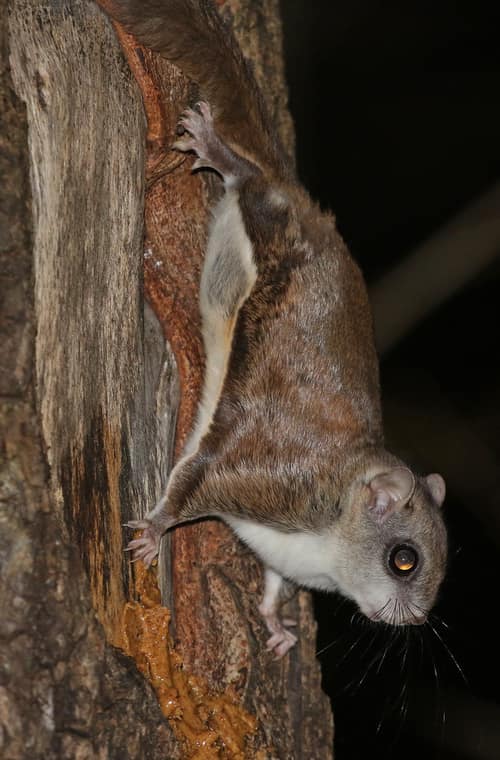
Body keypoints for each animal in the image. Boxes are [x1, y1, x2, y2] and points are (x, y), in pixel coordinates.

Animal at [107, 0, 447, 657]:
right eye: (404, 559)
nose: (416, 620)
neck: (331, 537)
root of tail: (308, 204)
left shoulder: (279, 552)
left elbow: (271, 583)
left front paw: (276, 626)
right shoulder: (265, 479)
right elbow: (190, 488)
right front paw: (154, 532)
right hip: (270, 222)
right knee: (252, 181)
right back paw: (219, 149)